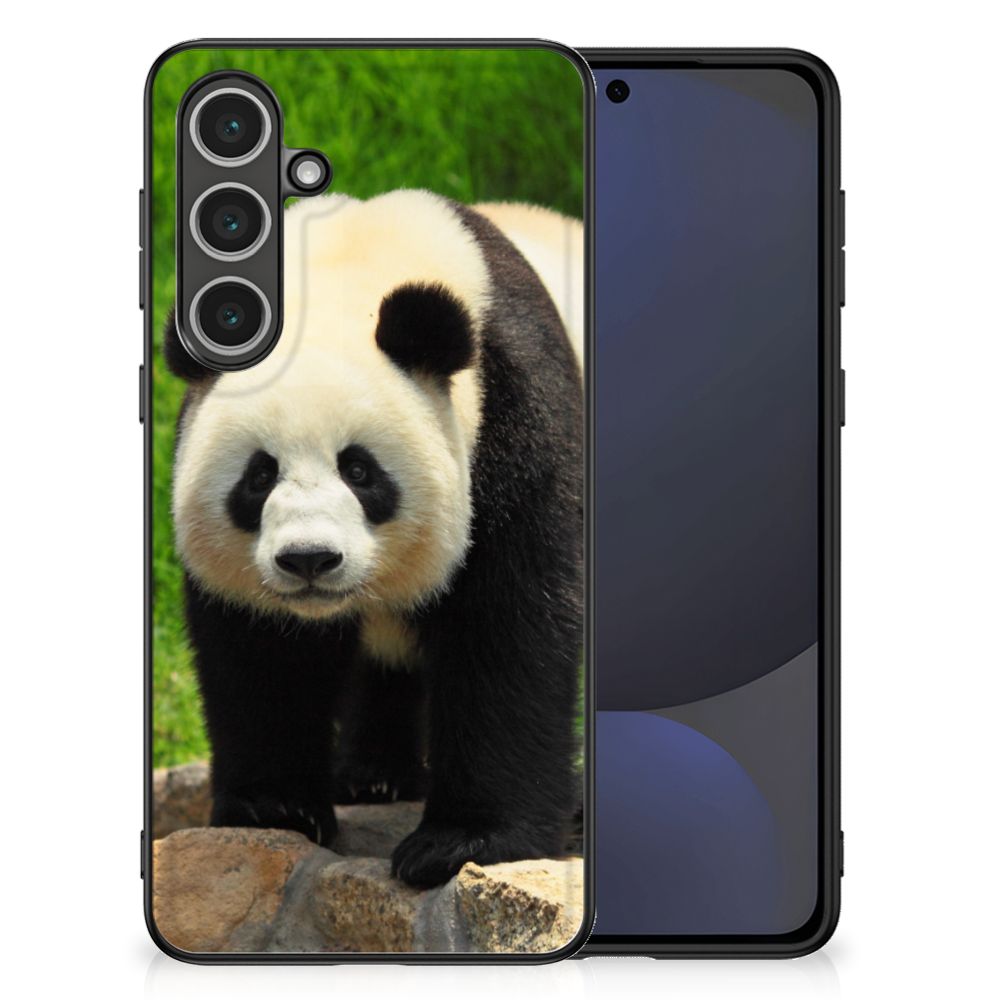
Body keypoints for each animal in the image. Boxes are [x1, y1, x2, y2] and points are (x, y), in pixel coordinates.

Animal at [166, 189, 584, 889]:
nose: (309, 559)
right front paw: (275, 807)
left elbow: (511, 627)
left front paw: (462, 842)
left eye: (359, 470)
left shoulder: (515, 418)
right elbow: (261, 652)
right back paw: (374, 776)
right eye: (259, 475)